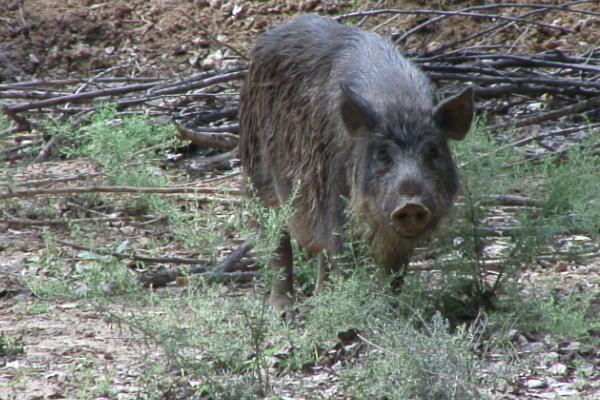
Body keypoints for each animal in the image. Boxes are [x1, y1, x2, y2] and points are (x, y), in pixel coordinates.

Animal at [238, 15, 474, 310]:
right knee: (277, 245)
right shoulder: (336, 202)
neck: (398, 105)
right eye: (382, 154)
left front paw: (389, 310)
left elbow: (394, 274)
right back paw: (283, 311)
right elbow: (345, 263)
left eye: (433, 151)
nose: (411, 202)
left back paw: (320, 300)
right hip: (257, 175)